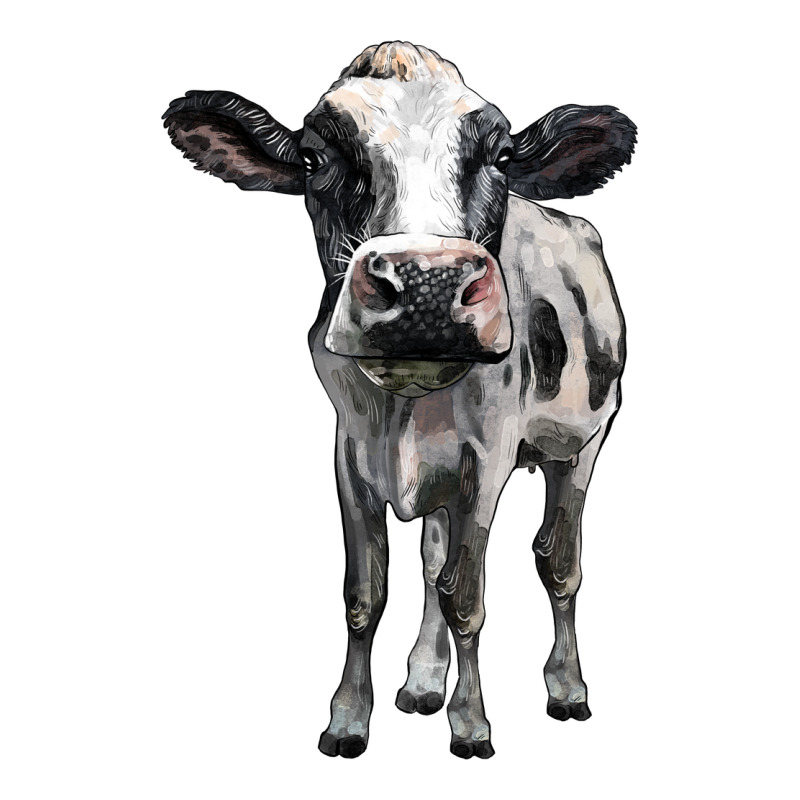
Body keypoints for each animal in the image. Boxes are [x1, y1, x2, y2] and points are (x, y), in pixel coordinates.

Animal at [163, 41, 635, 760]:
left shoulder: (487, 461)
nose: (426, 285)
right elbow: (367, 593)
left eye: (501, 155)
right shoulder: (351, 454)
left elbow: (467, 597)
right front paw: (348, 720)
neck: (404, 407)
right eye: (313, 156)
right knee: (433, 563)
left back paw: (566, 688)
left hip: (581, 445)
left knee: (558, 562)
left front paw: (471, 724)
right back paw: (421, 682)